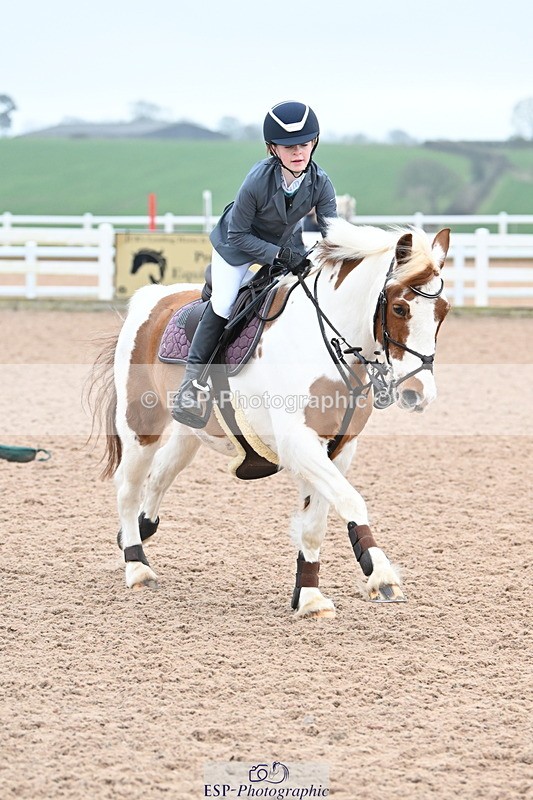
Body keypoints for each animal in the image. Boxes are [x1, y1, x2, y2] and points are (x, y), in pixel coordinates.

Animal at [90, 219, 450, 617]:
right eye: (400, 309)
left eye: (444, 311)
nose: (418, 394)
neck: (328, 344)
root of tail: (151, 299)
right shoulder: (300, 443)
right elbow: (351, 501)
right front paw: (381, 575)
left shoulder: (338, 449)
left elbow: (315, 523)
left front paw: (309, 596)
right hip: (141, 423)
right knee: (129, 487)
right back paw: (137, 565)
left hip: (191, 432)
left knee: (160, 476)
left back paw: (139, 531)